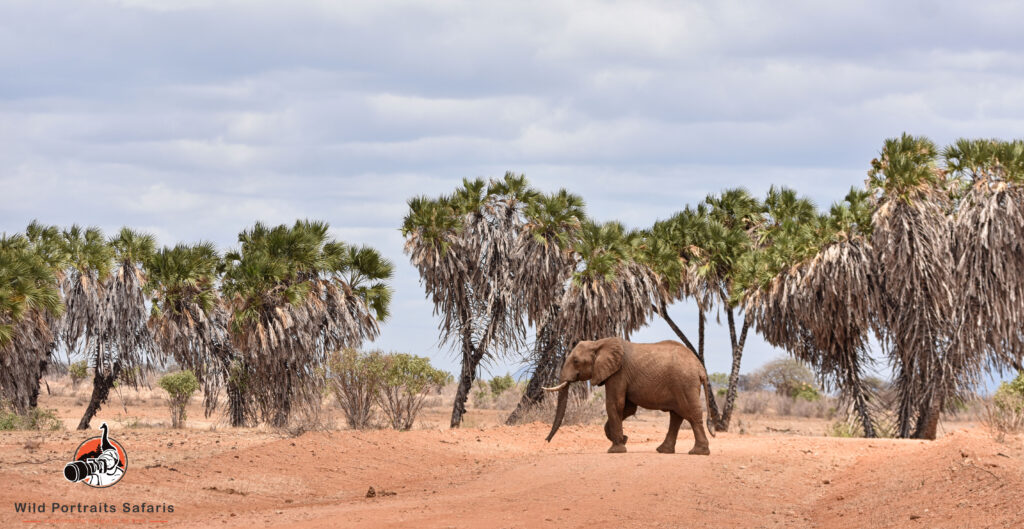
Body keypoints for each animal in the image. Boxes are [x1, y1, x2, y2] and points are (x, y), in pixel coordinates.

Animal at [544, 337, 712, 454]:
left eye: (576, 361)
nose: (546, 440)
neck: (599, 343)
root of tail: (700, 368)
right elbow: (628, 409)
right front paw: (622, 440)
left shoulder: (618, 373)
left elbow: (614, 404)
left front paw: (616, 449)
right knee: (676, 416)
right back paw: (663, 450)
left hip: (685, 383)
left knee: (691, 414)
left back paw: (698, 452)